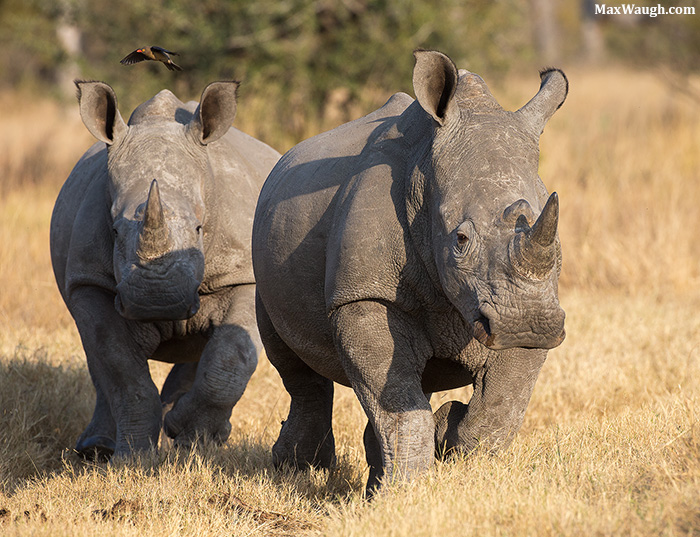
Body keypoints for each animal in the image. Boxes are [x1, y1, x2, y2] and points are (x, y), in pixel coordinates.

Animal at [50, 80, 280, 458]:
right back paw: (96, 449)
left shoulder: (245, 276)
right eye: (114, 231)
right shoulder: (90, 281)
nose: (157, 300)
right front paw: (132, 460)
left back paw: (194, 433)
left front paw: (193, 439)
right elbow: (120, 369)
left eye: (199, 228)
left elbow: (231, 357)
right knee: (96, 358)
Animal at [252, 50, 567, 491]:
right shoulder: (361, 295)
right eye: (460, 240)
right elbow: (400, 406)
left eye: (558, 244)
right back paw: (298, 468)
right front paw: (403, 492)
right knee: (296, 367)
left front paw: (447, 431)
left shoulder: (526, 306)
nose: (530, 324)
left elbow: (500, 410)